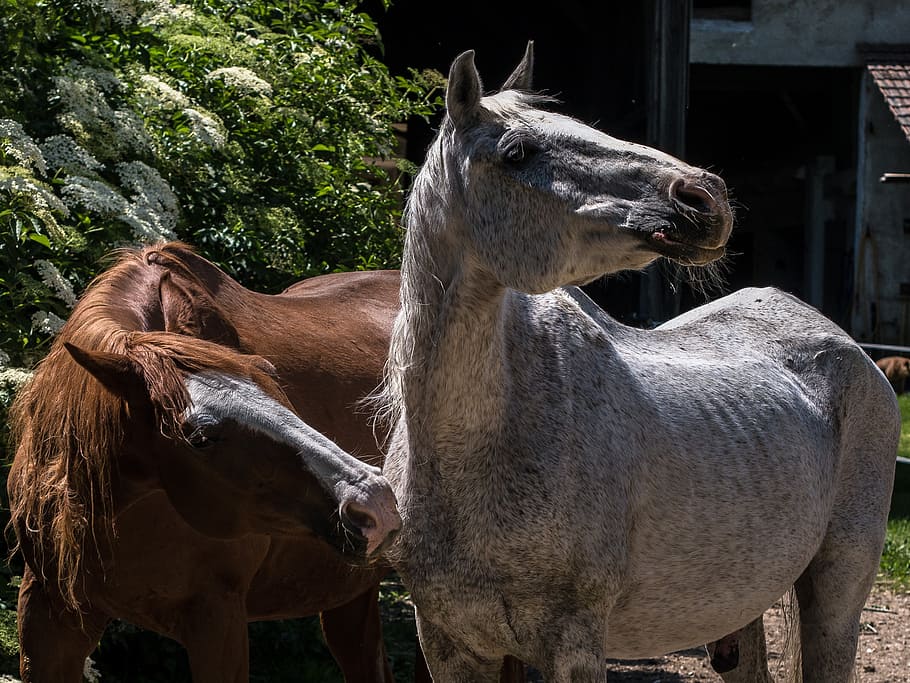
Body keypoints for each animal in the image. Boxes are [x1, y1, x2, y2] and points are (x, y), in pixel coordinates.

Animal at [375, 42, 901, 682]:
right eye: (517, 152)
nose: (704, 196)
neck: (470, 451)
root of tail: (850, 351)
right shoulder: (449, 643)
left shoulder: (572, 644)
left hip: (837, 595)